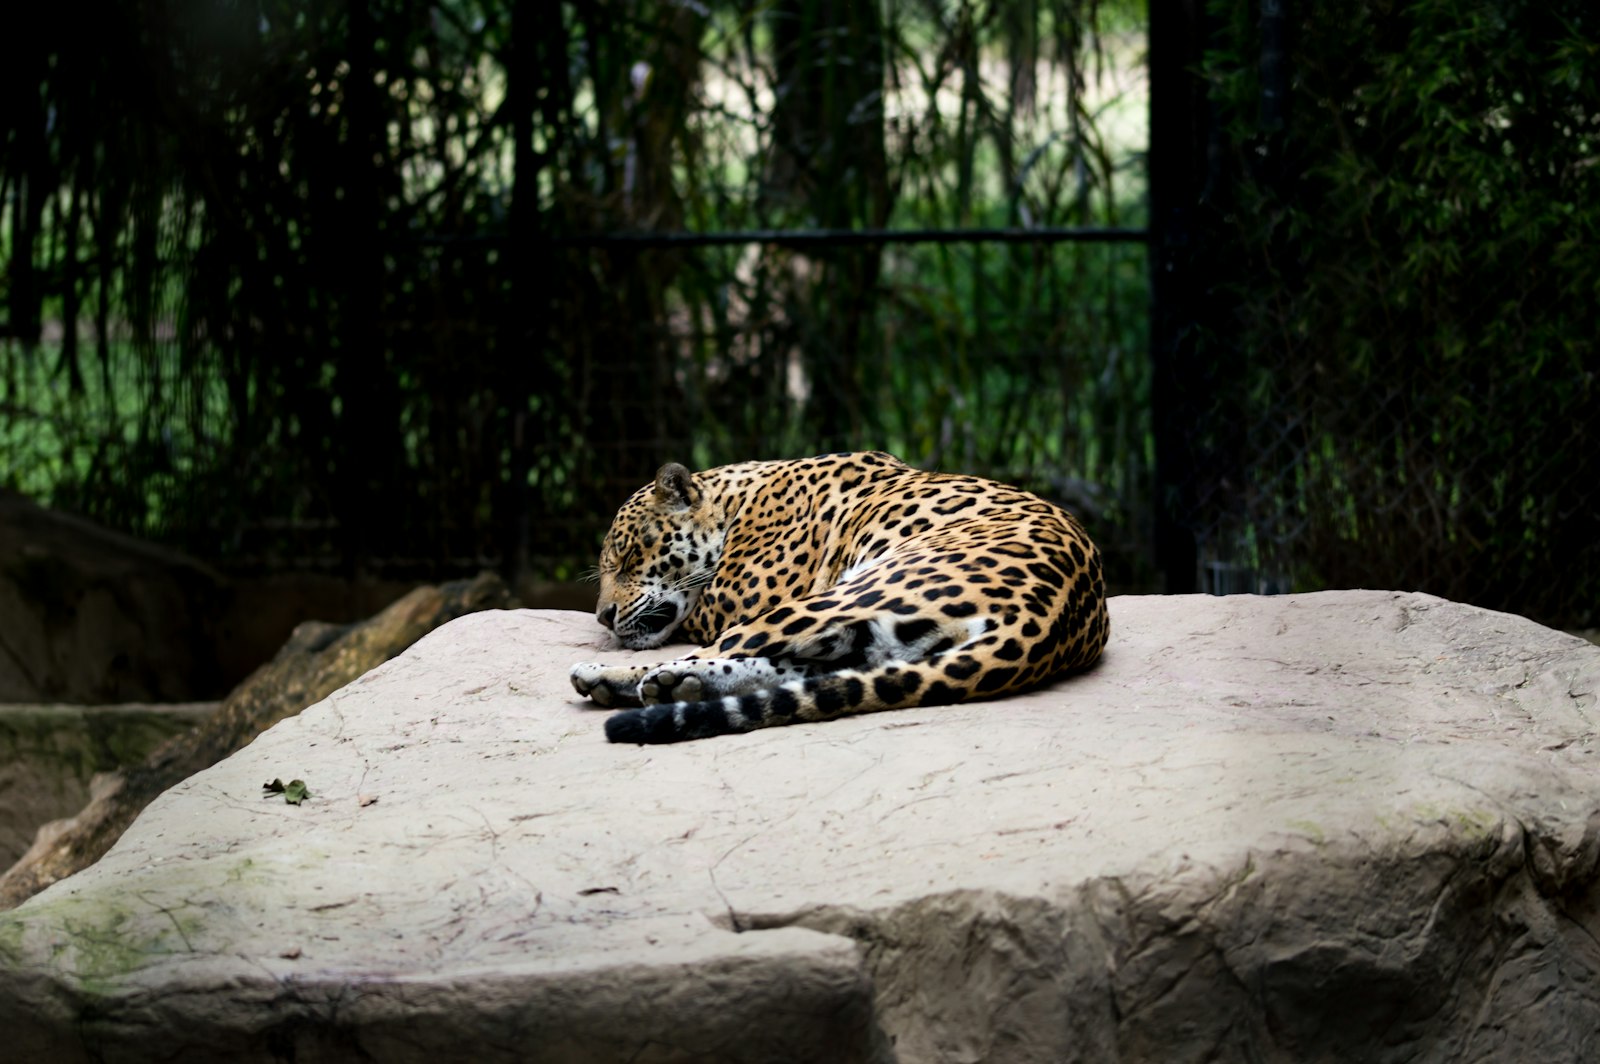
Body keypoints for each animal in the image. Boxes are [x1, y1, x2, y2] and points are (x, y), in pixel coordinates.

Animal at [569, 444, 1107, 739]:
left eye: (629, 555)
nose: (604, 616)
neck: (738, 499)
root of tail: (1046, 623)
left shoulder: (735, 599)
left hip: (842, 593)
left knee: (728, 651)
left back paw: (626, 678)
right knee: (822, 671)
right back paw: (677, 686)